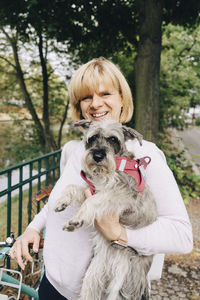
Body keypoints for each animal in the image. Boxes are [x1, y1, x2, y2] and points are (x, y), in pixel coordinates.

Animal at [54, 119, 158, 300]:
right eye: (93, 138)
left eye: (113, 139)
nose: (97, 156)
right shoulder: (92, 190)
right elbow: (72, 187)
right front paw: (62, 201)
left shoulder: (122, 194)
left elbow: (93, 201)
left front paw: (76, 220)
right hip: (93, 274)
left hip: (124, 282)